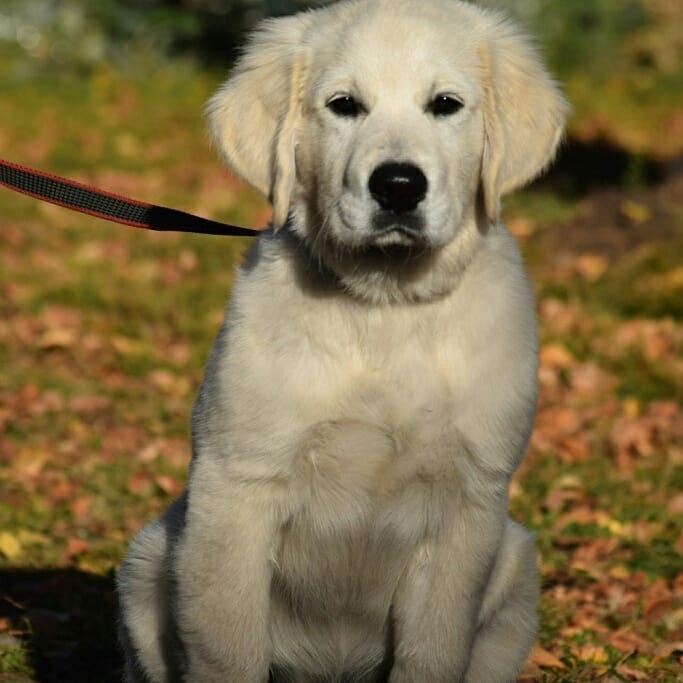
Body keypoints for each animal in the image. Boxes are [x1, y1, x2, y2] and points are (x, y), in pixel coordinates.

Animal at [117, 1, 567, 681]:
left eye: (445, 104)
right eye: (344, 105)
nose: (399, 185)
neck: (385, 308)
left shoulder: (469, 506)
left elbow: (432, 655)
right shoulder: (236, 488)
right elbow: (227, 648)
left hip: (515, 572)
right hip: (150, 560)